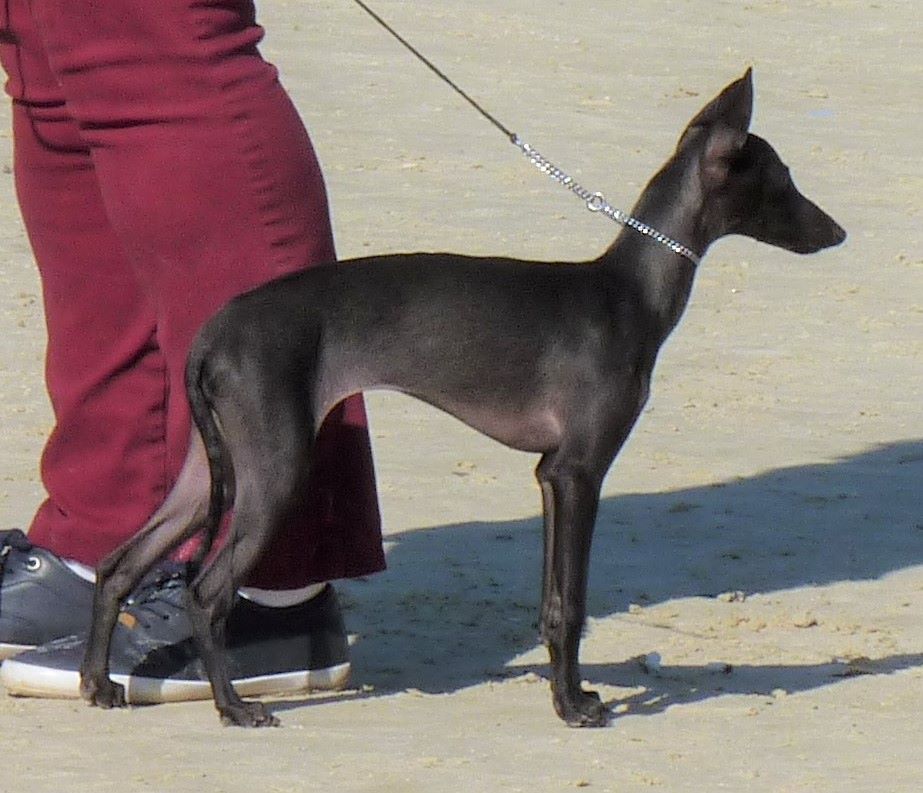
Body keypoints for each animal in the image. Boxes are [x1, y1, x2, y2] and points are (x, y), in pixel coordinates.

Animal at [77, 71, 844, 728]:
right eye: (783, 181)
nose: (838, 232)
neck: (626, 293)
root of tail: (212, 332)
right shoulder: (579, 472)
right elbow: (572, 601)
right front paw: (573, 707)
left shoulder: (549, 475)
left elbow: (552, 601)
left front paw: (569, 693)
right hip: (275, 469)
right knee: (206, 592)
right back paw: (233, 706)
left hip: (212, 467)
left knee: (119, 564)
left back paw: (97, 683)